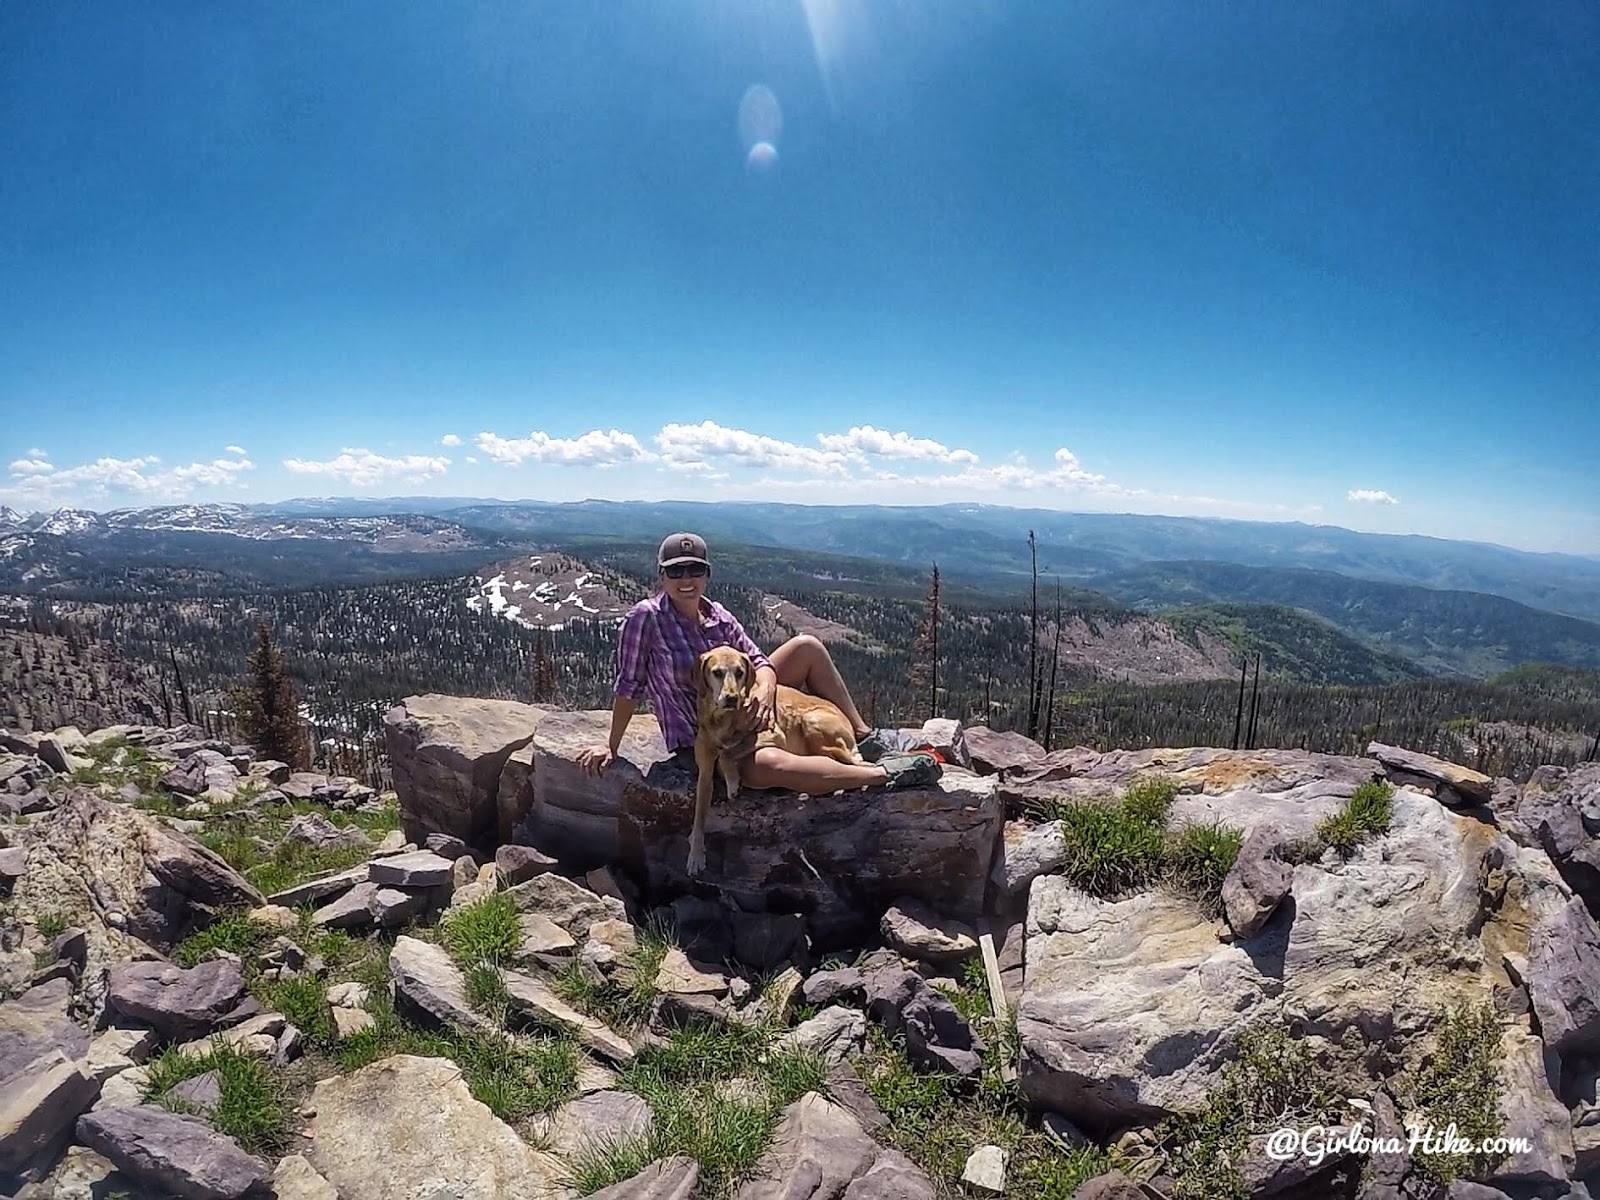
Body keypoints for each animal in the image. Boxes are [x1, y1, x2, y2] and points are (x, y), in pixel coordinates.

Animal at [688, 643, 864, 876]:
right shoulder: (705, 770)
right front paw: (696, 855)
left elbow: (727, 753)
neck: (722, 720)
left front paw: (732, 781)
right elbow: (699, 816)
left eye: (740, 672)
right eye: (716, 672)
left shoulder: (773, 734)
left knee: (838, 759)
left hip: (812, 721)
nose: (732, 698)